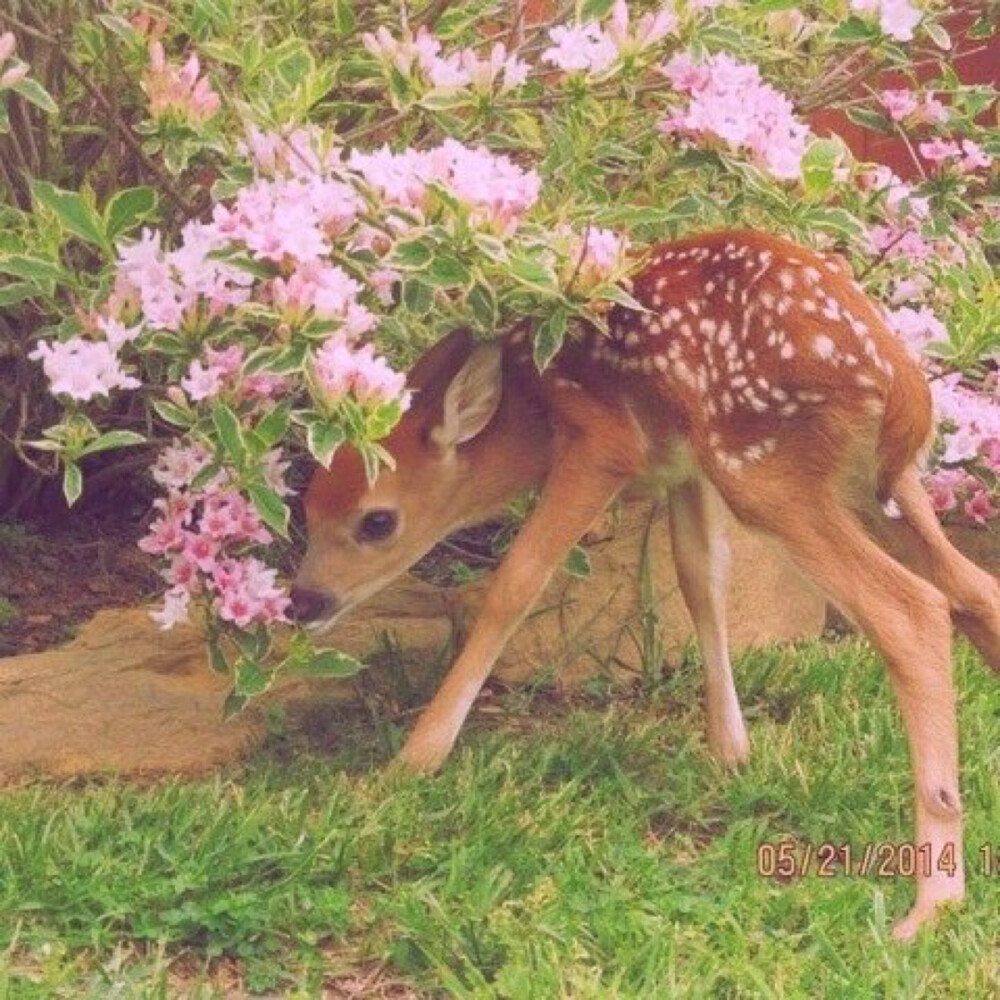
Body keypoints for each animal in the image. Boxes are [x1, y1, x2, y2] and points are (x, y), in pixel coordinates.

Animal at [290, 230, 1000, 940]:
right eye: (306, 504)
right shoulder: (682, 465)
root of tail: (900, 378)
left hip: (765, 469)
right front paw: (732, 752)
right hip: (873, 481)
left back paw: (933, 902)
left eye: (377, 521)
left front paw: (414, 761)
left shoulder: (602, 446)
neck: (531, 407)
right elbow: (699, 577)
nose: (303, 600)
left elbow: (517, 581)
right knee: (972, 588)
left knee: (911, 609)